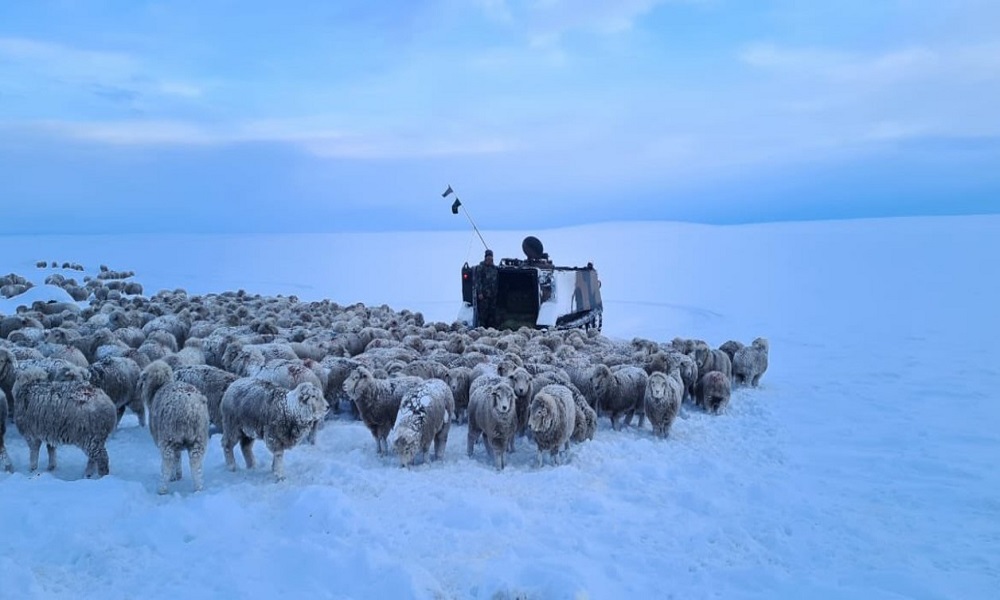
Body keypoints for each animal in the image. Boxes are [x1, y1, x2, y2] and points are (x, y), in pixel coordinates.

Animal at [136, 360, 210, 492]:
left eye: (143, 378)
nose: (137, 385)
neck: (159, 387)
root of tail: (189, 407)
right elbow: (178, 457)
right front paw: (178, 475)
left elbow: (175, 459)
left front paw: (174, 477)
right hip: (199, 438)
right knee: (196, 464)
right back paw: (199, 488)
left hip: (168, 438)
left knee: (167, 463)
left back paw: (162, 489)